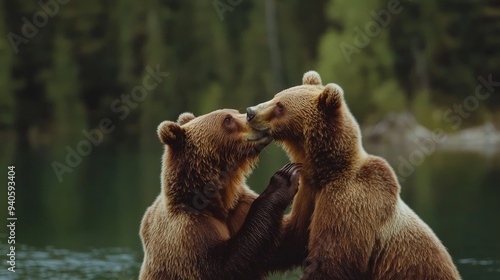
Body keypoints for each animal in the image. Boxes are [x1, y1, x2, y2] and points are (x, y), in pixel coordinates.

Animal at [138, 109, 300, 280]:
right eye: (227, 120)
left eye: (235, 112)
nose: (251, 115)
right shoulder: (187, 231)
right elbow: (223, 266)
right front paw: (284, 178)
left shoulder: (238, 206)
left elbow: (280, 245)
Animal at [246, 72, 460, 280]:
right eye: (276, 96)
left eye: (280, 105)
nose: (250, 112)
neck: (327, 172)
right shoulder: (309, 194)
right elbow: (291, 239)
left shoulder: (351, 202)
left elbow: (333, 261)